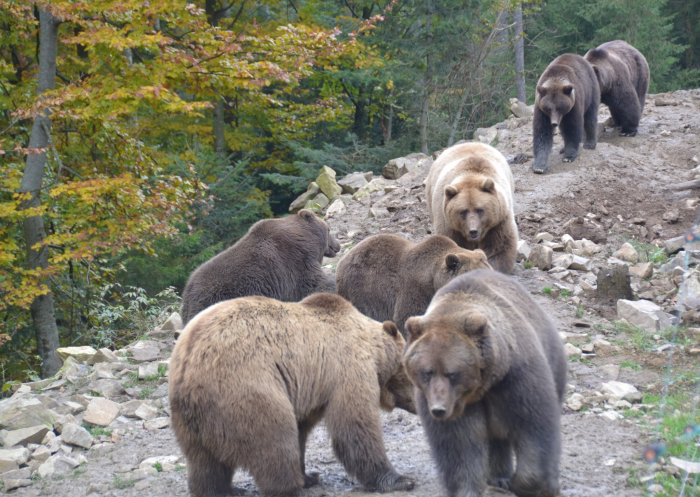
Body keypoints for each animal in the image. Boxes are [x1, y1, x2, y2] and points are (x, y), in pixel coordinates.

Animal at [168, 292, 416, 494]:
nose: (419, 405)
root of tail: (188, 363)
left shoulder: (307, 390)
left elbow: (302, 430)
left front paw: (309, 475)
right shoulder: (348, 369)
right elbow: (355, 425)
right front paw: (400, 479)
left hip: (191, 418)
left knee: (204, 463)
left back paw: (225, 490)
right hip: (245, 387)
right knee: (274, 440)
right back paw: (288, 488)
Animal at [179, 209, 340, 326]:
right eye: (329, 229)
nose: (337, 245)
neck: (306, 239)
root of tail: (186, 295)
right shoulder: (295, 261)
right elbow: (315, 283)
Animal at [402, 270, 568, 496]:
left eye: (452, 373)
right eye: (427, 372)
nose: (438, 409)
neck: (482, 387)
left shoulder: (516, 378)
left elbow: (535, 425)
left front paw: (530, 485)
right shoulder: (458, 407)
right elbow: (460, 446)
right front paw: (467, 489)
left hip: (553, 360)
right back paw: (498, 477)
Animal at [424, 141, 516, 274]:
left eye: (480, 210)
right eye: (463, 211)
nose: (473, 230)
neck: (470, 175)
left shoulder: (499, 220)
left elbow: (499, 246)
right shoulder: (448, 222)